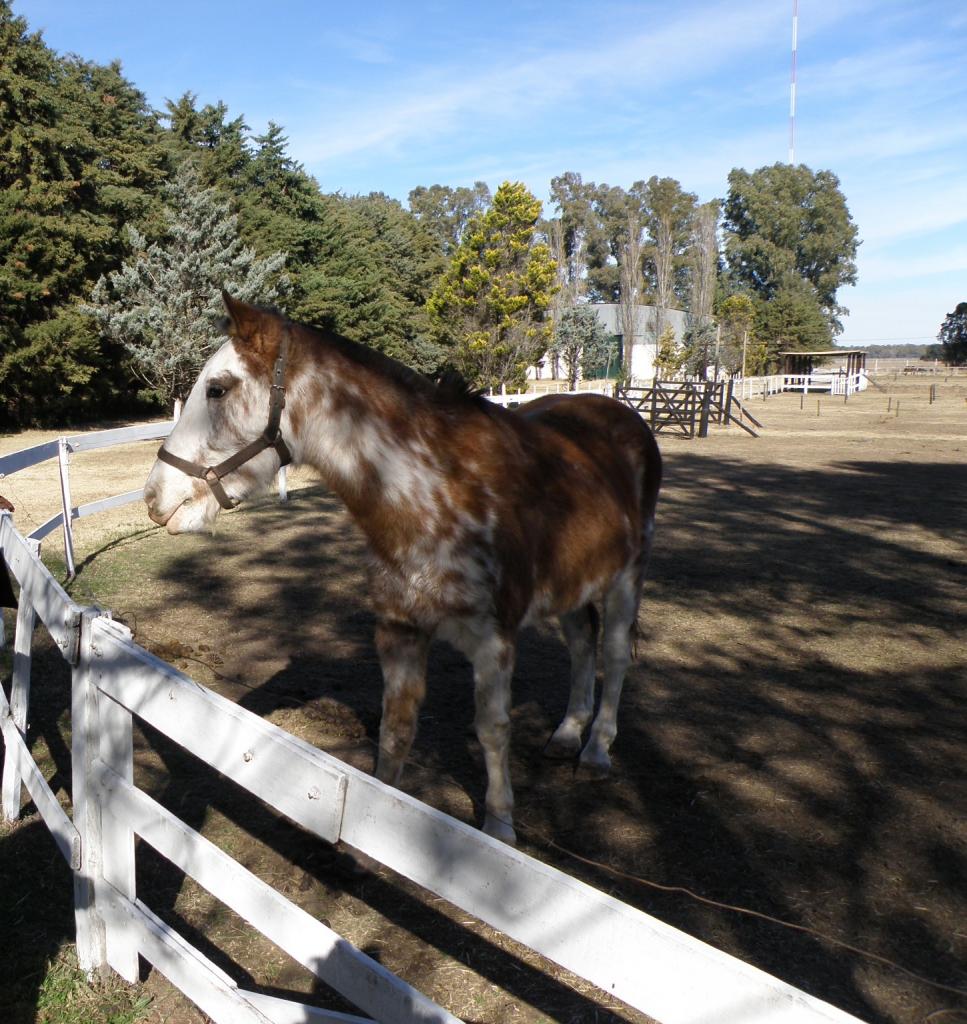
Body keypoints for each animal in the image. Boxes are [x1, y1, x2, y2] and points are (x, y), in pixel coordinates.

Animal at [145, 292, 663, 843]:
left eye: (218, 389)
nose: (154, 498)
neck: (436, 493)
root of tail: (621, 413)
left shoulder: (493, 642)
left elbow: (492, 730)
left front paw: (500, 825)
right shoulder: (398, 630)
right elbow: (395, 728)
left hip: (627, 577)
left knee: (614, 654)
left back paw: (597, 749)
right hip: (573, 582)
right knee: (583, 645)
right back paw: (568, 733)